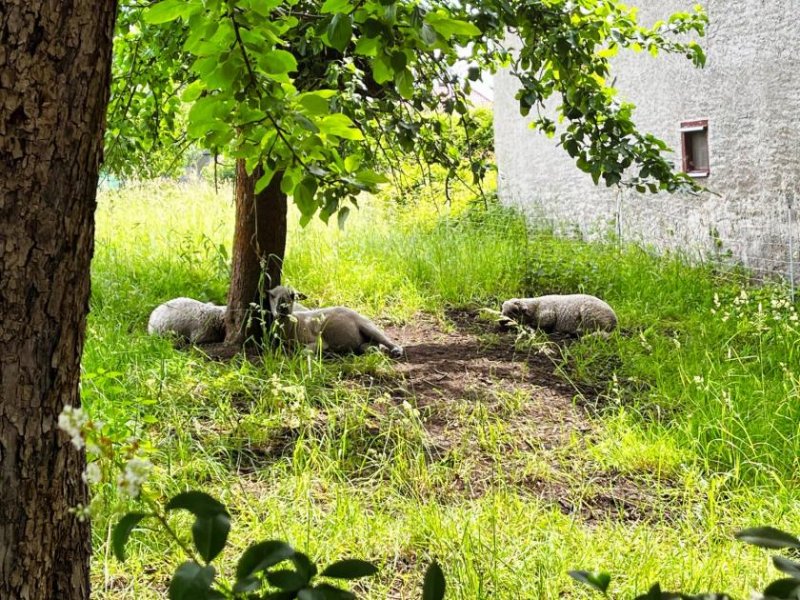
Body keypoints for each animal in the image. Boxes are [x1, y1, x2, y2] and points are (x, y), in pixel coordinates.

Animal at [268, 284, 406, 356]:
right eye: (272, 296)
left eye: (292, 296)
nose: (283, 308)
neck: (293, 324)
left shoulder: (319, 341)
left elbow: (305, 352)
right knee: (371, 345)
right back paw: (372, 350)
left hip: (367, 326)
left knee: (385, 339)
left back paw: (397, 350)